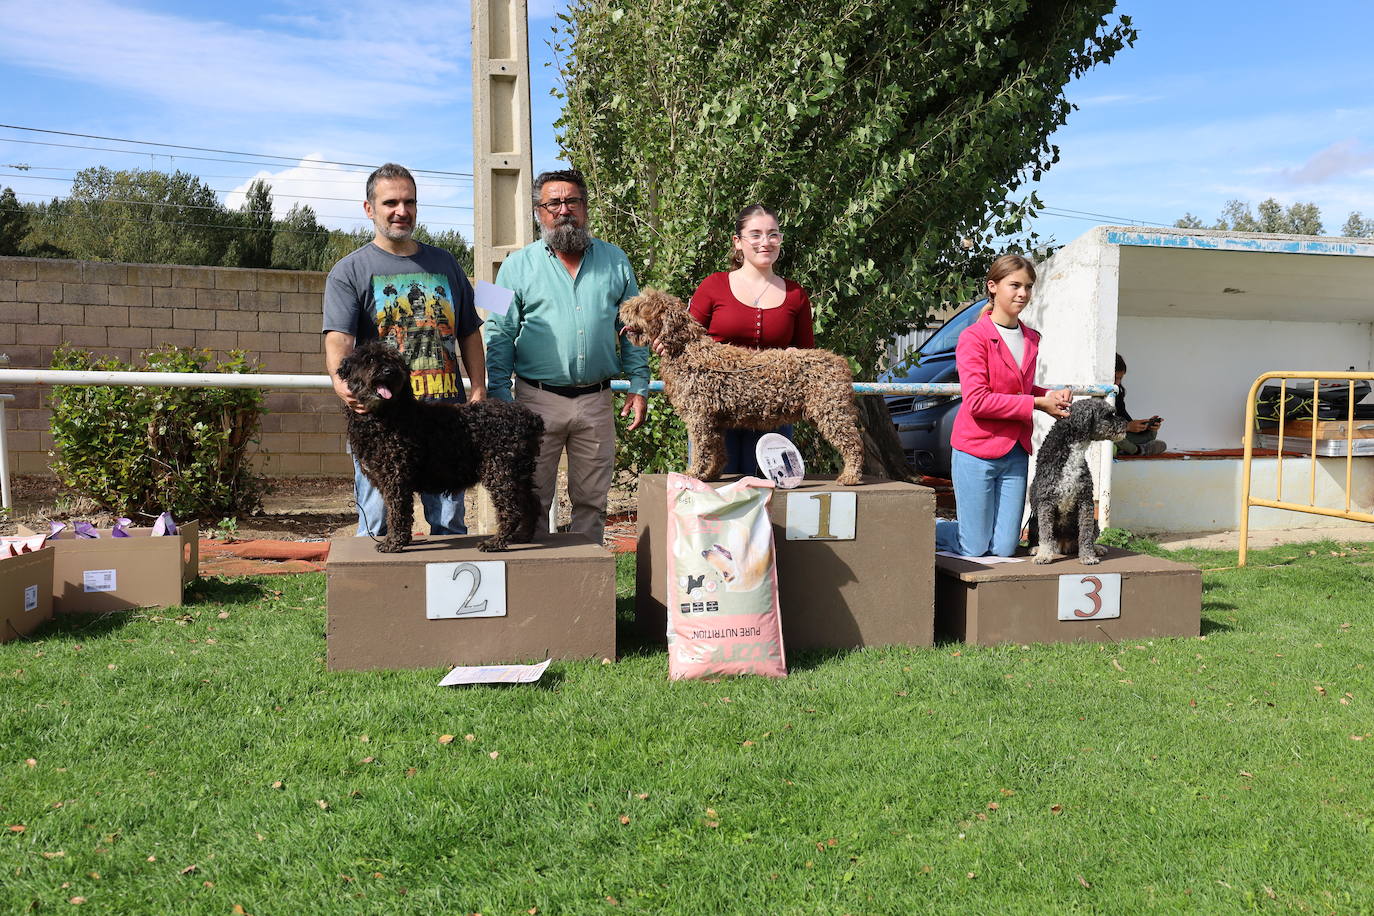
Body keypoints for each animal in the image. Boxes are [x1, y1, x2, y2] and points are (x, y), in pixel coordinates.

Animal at [338, 341, 541, 552]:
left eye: (394, 361)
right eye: (369, 359)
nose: (388, 371)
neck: (390, 414)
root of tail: (529, 418)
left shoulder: (396, 479)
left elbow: (397, 513)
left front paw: (393, 542)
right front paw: (401, 540)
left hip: (501, 473)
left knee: (512, 510)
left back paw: (495, 542)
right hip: (518, 475)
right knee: (532, 503)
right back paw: (523, 536)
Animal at [1033, 401, 1126, 565]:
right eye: (1108, 415)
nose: (1126, 424)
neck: (1071, 454)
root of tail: (1063, 545)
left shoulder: (1085, 501)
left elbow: (1085, 534)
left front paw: (1088, 556)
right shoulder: (1046, 501)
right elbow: (1045, 532)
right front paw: (1043, 555)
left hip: (1095, 522)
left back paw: (1097, 548)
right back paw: (1037, 549)